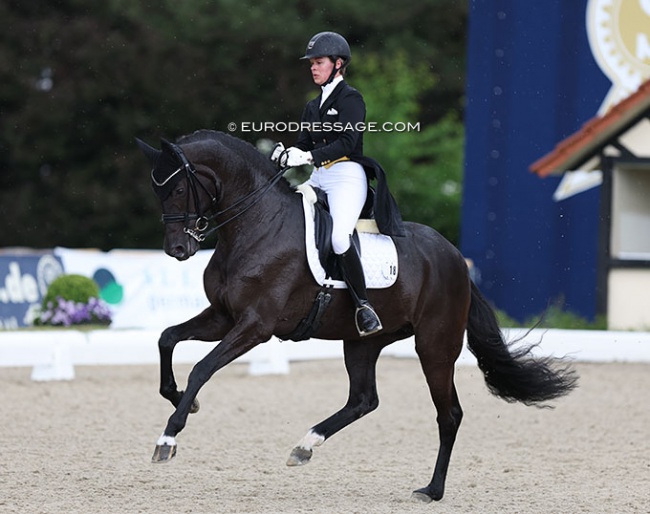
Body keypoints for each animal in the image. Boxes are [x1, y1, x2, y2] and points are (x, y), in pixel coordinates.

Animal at [135, 129, 572, 500]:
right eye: (156, 192)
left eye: (178, 188)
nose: (178, 250)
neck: (256, 227)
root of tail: (454, 258)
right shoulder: (224, 317)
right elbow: (167, 338)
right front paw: (182, 401)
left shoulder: (255, 326)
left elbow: (202, 368)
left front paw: (168, 439)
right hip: (363, 342)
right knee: (364, 399)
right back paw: (305, 446)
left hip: (435, 346)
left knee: (448, 415)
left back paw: (431, 490)